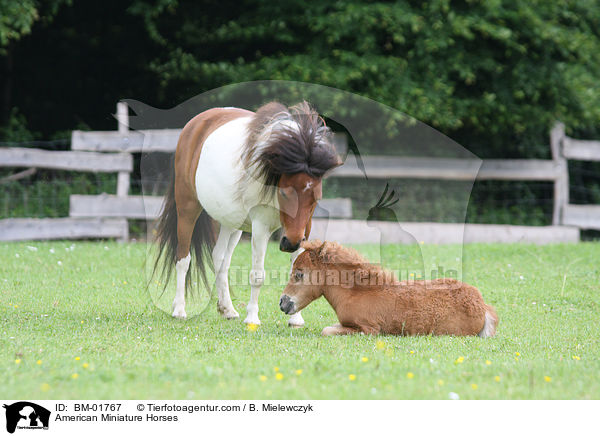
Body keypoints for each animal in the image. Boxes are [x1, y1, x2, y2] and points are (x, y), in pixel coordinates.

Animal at [152, 100, 340, 326]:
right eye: (284, 193)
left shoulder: (305, 228)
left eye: (316, 198)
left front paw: (295, 318)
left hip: (231, 222)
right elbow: (257, 275)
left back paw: (227, 309)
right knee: (183, 259)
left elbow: (298, 268)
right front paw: (252, 317)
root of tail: (195, 124)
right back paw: (179, 309)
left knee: (220, 259)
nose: (290, 243)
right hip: (187, 208)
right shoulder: (260, 228)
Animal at [278, 240, 500, 336]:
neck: (355, 293)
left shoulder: (369, 329)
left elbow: (327, 330)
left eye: (299, 274)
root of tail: (482, 304)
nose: (283, 303)